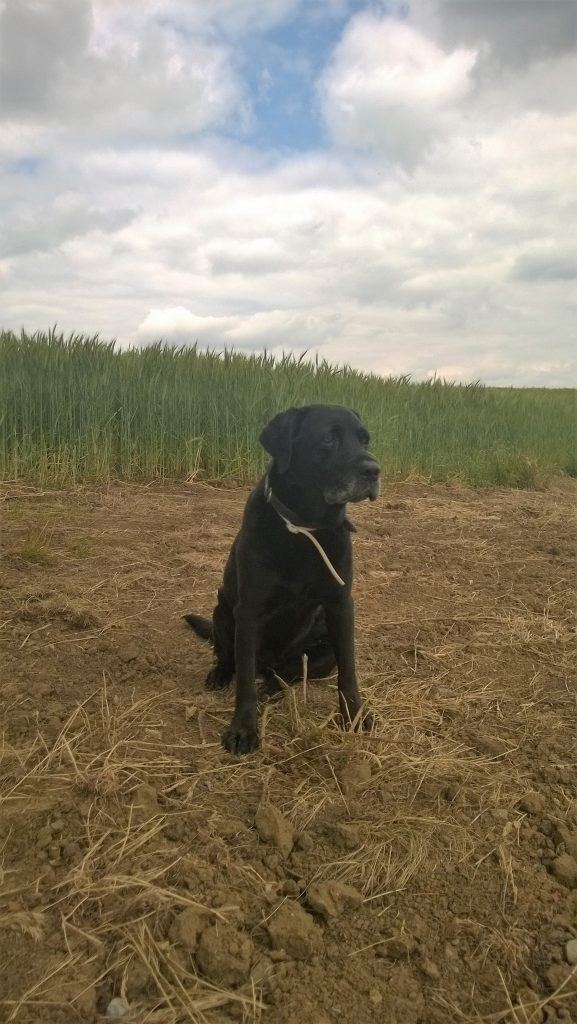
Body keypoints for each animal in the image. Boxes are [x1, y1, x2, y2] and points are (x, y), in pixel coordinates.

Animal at [185, 403, 381, 757]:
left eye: (365, 439)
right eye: (328, 438)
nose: (373, 471)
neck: (304, 527)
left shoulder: (341, 606)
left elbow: (349, 672)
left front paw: (355, 716)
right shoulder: (249, 611)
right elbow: (244, 681)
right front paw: (243, 730)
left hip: (320, 650)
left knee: (286, 674)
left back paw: (272, 687)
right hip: (222, 611)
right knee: (230, 658)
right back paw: (220, 674)